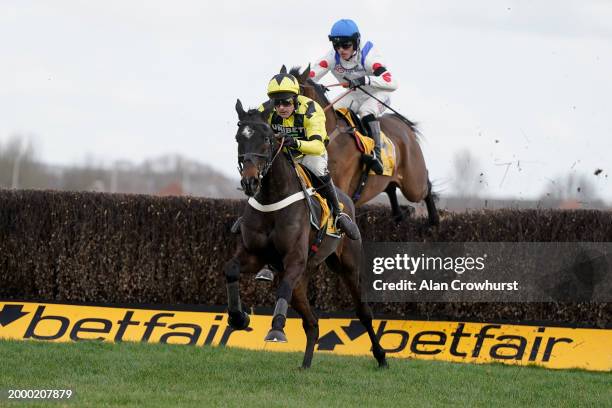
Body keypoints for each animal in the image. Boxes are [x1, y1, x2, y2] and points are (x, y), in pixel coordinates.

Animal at [225, 100, 388, 368]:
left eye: (267, 138)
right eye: (239, 138)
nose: (250, 182)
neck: (272, 198)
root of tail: (346, 198)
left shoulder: (295, 260)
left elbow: (282, 288)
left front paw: (276, 330)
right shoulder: (254, 254)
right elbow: (231, 269)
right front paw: (239, 318)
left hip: (348, 266)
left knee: (363, 313)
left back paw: (381, 357)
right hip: (303, 279)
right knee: (312, 322)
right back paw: (305, 364)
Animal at [292, 67, 440, 226]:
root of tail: (402, 123)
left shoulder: (339, 184)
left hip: (413, 183)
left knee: (426, 186)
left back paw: (434, 220)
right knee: (392, 190)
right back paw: (401, 215)